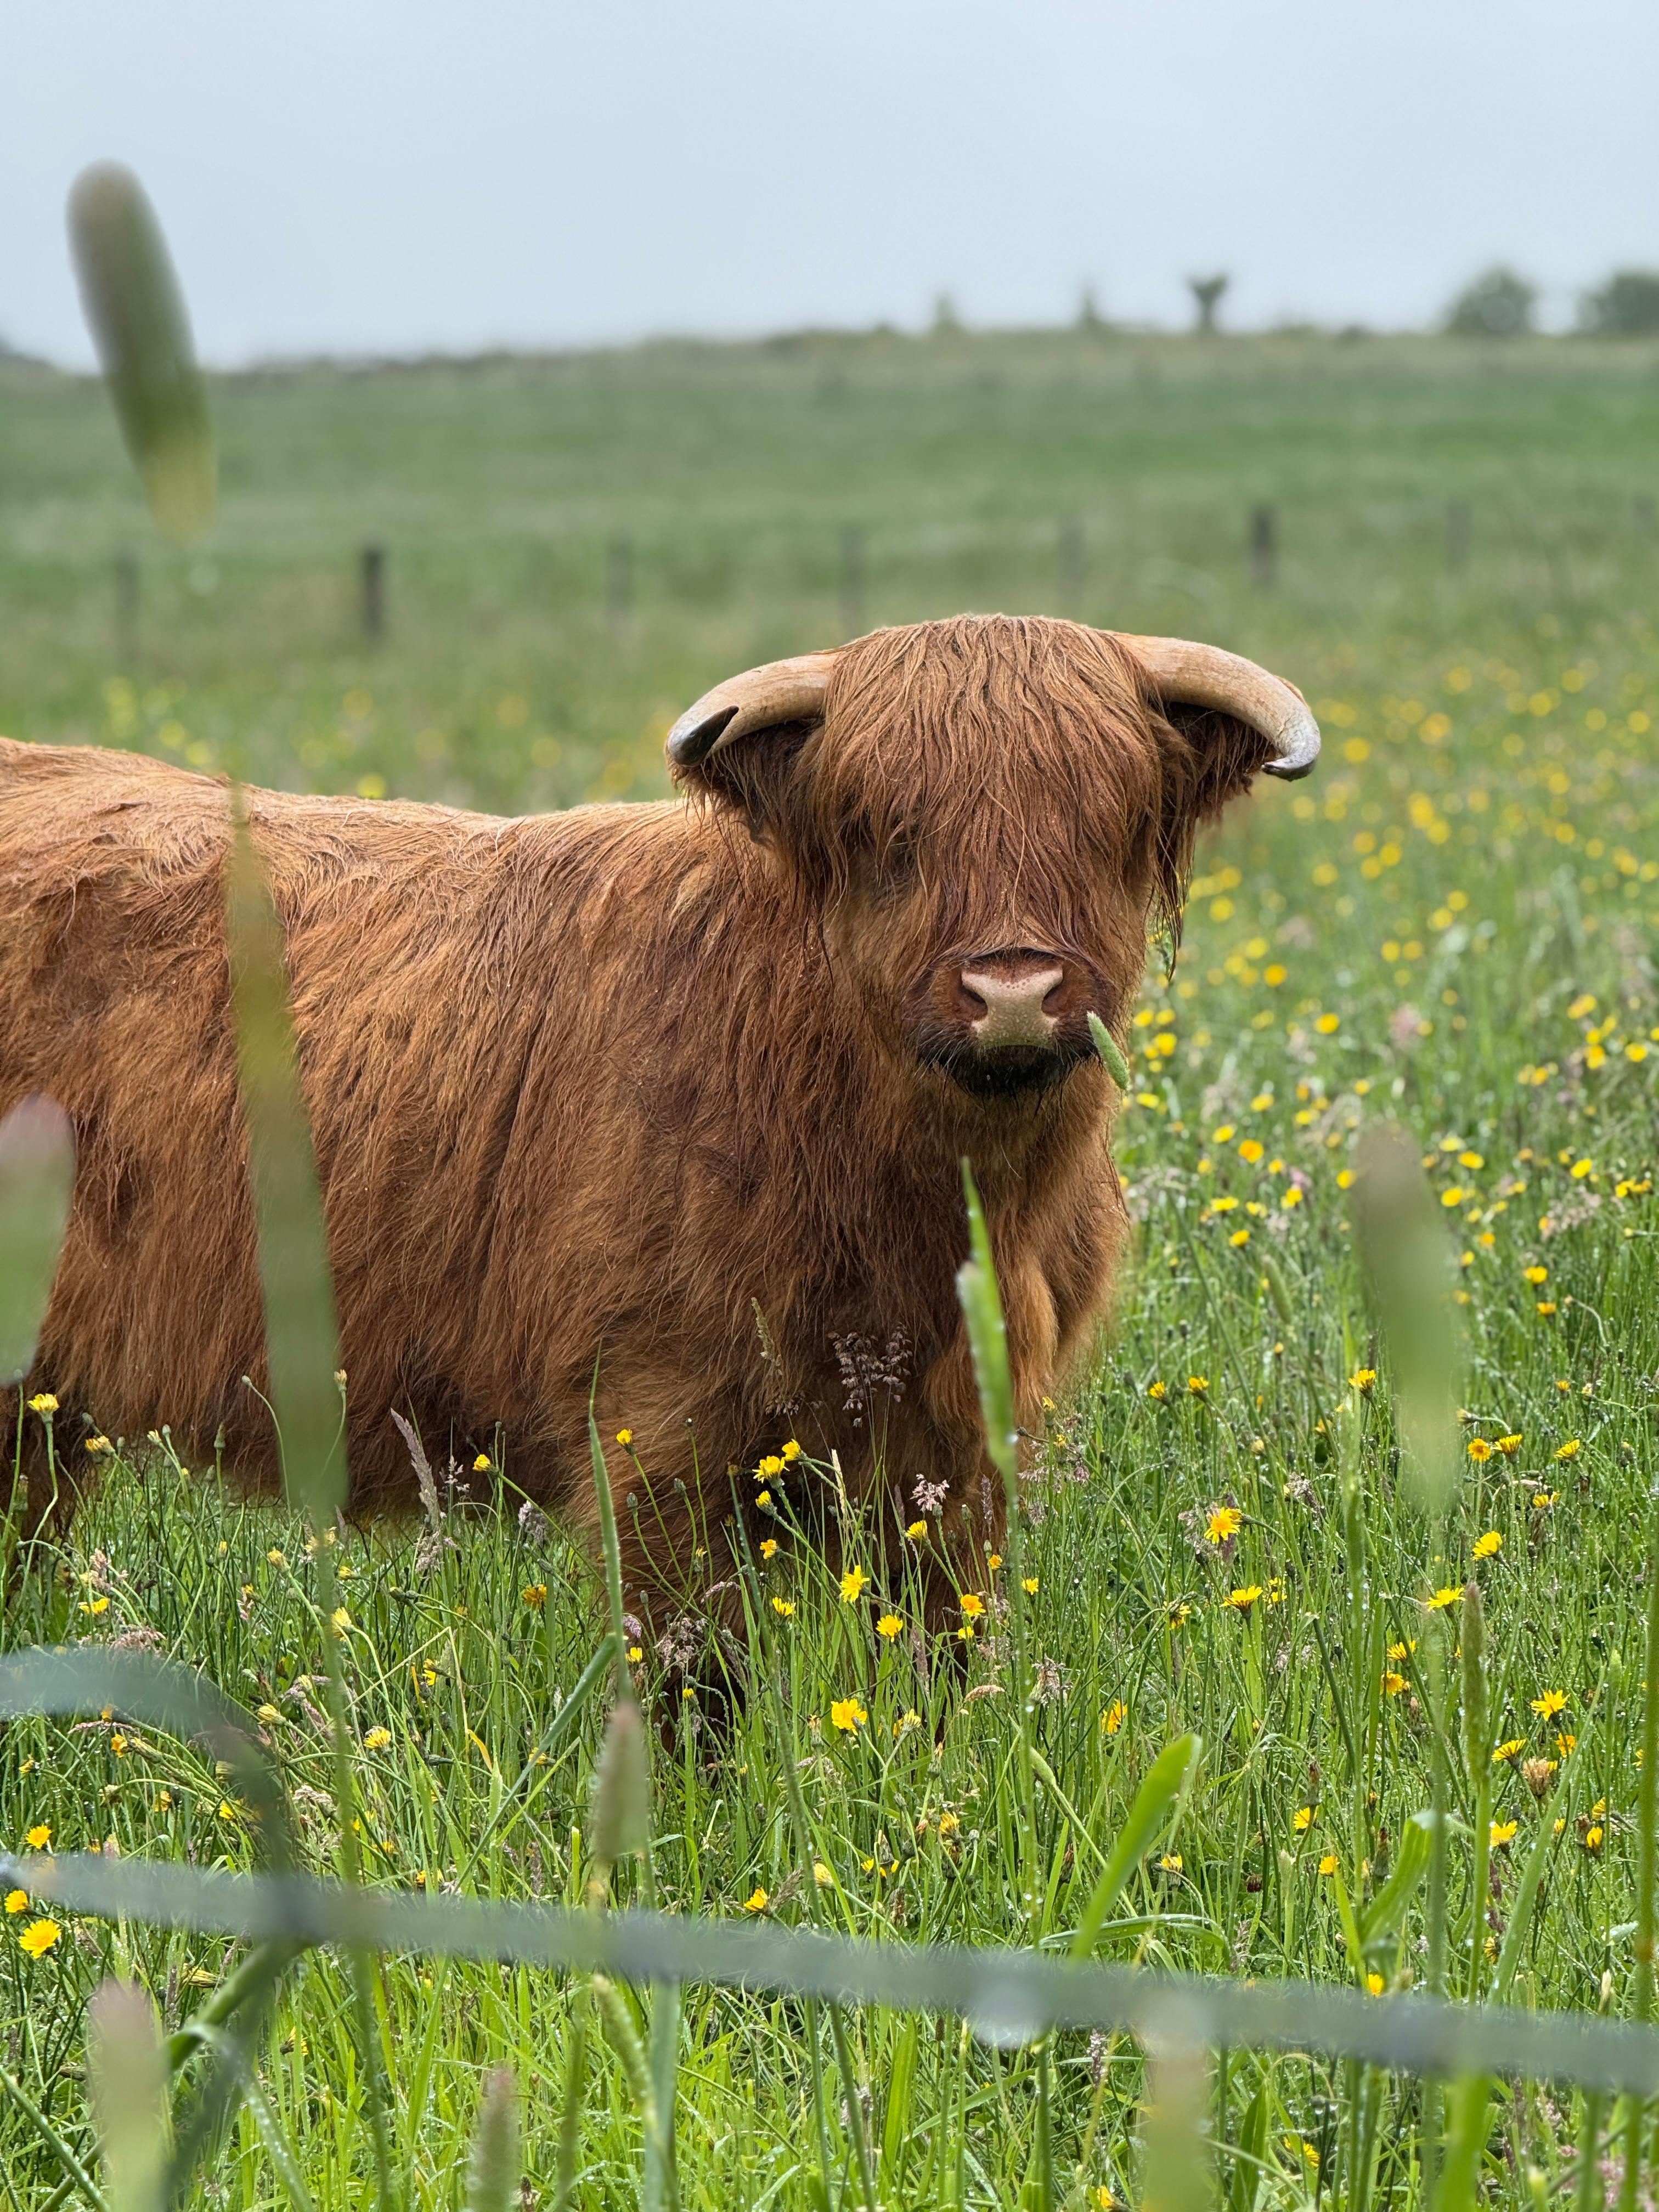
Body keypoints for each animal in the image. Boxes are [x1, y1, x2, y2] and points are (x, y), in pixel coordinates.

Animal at [0, 614, 1316, 1645]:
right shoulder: (655, 1436)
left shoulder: (958, 1449)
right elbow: (693, 1684)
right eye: (884, 832)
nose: (1011, 991)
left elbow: (941, 1654)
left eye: (1109, 822)